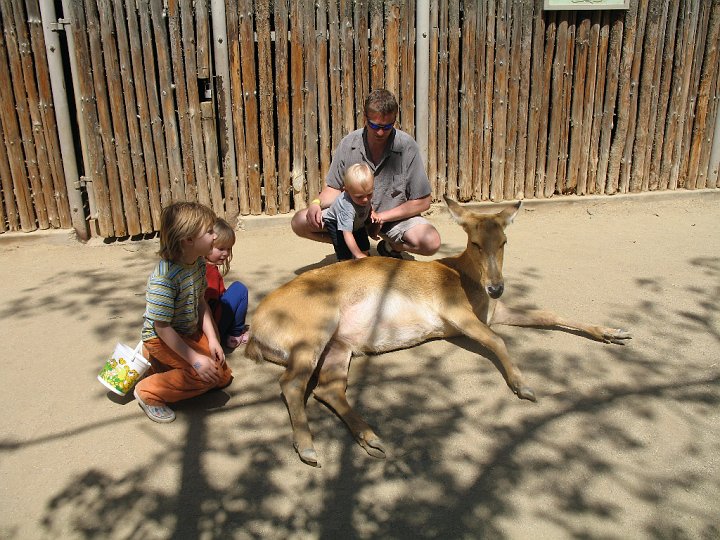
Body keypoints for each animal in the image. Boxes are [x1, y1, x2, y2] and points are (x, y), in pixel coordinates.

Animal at [246, 196, 632, 466]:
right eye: (474, 242)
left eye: (504, 241)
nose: (497, 288)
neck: (465, 279)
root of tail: (256, 331)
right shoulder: (456, 312)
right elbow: (498, 340)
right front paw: (524, 386)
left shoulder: (493, 313)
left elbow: (546, 314)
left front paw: (615, 332)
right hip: (313, 331)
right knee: (292, 383)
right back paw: (309, 448)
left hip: (339, 347)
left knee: (327, 388)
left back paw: (372, 439)